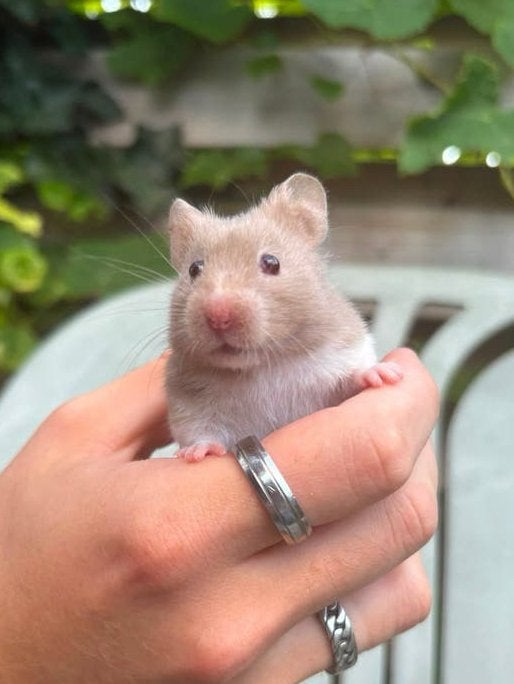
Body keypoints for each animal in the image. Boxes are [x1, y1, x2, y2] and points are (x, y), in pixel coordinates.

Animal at [165, 173, 402, 461]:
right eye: (194, 269)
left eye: (272, 262)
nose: (218, 315)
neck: (265, 365)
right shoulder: (188, 402)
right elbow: (200, 430)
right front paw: (195, 453)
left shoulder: (340, 359)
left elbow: (351, 379)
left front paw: (385, 374)